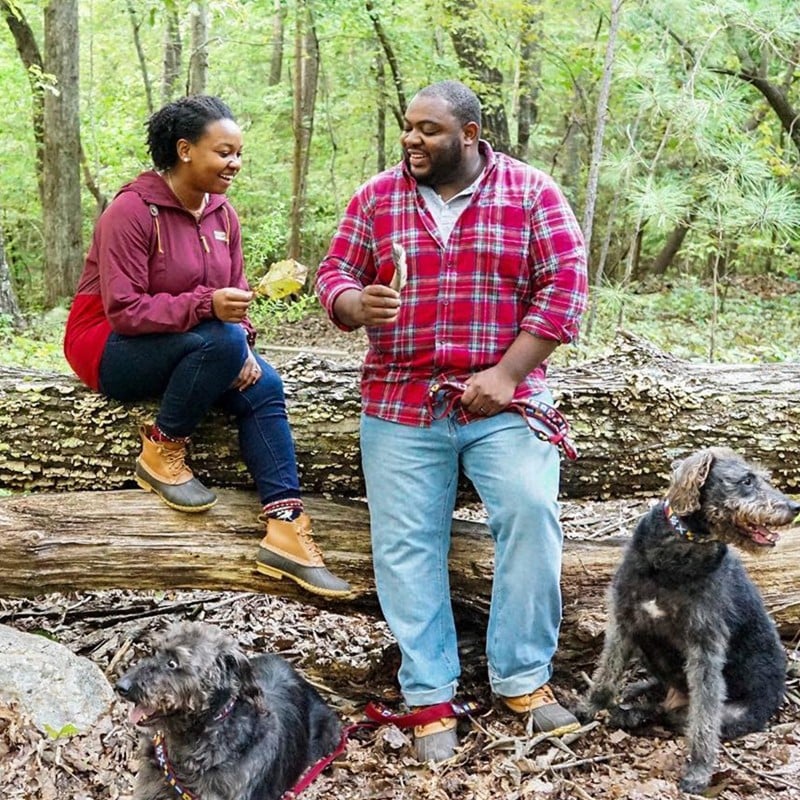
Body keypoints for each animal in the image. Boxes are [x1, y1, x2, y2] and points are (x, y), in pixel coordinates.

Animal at [580, 446, 796, 792]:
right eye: (747, 480)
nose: (793, 507)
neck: (680, 549)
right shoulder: (623, 621)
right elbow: (606, 673)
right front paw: (588, 709)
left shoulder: (704, 647)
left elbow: (703, 722)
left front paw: (698, 771)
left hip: (722, 711)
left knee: (677, 716)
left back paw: (634, 714)